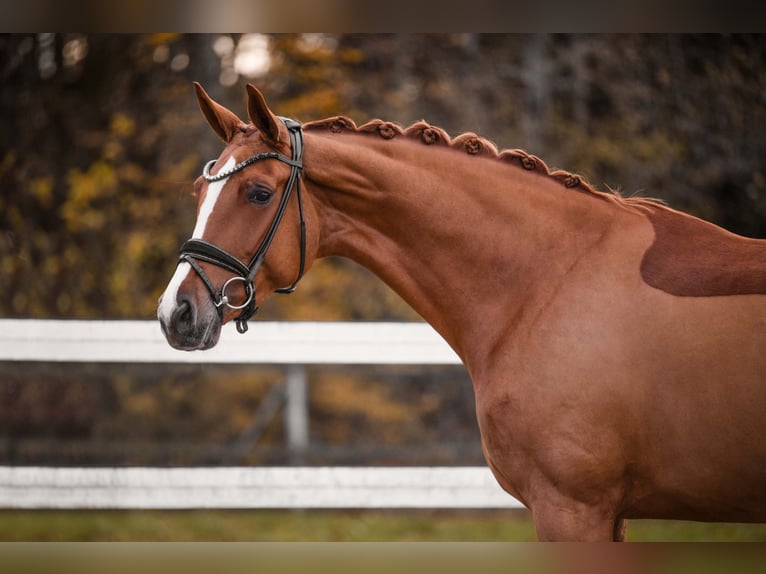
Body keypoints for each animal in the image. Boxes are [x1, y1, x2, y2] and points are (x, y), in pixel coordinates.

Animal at [158, 83, 766, 544]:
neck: (550, 280)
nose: (175, 313)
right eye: (198, 193)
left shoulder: (573, 509)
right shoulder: (605, 514)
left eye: (259, 193)